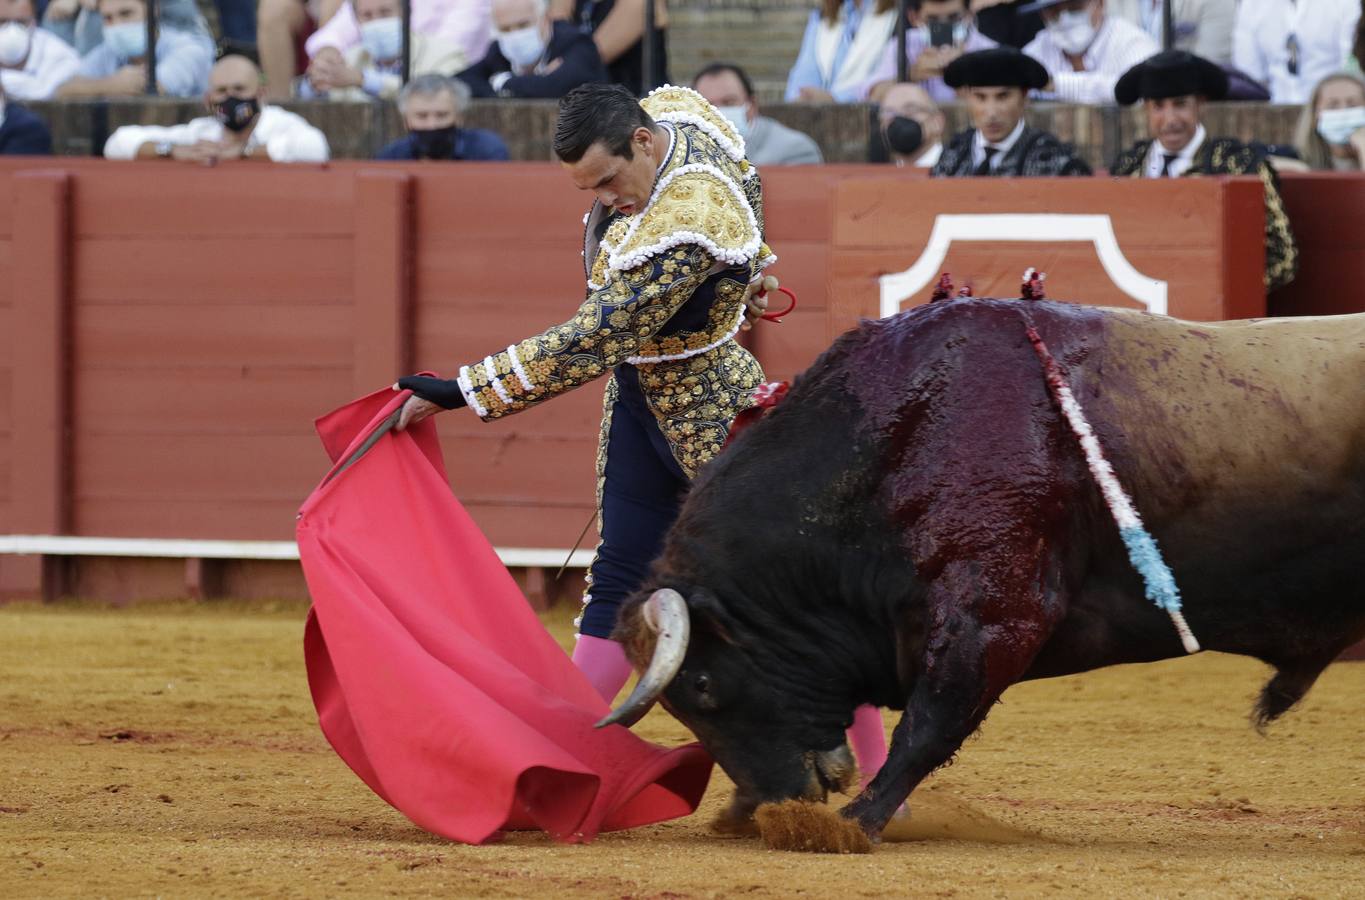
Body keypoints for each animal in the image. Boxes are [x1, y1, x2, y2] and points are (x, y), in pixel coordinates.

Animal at [597, 297, 1365, 835]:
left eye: (701, 687)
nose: (772, 802)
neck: (889, 447)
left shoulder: (995, 613)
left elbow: (930, 723)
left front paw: (850, 826)